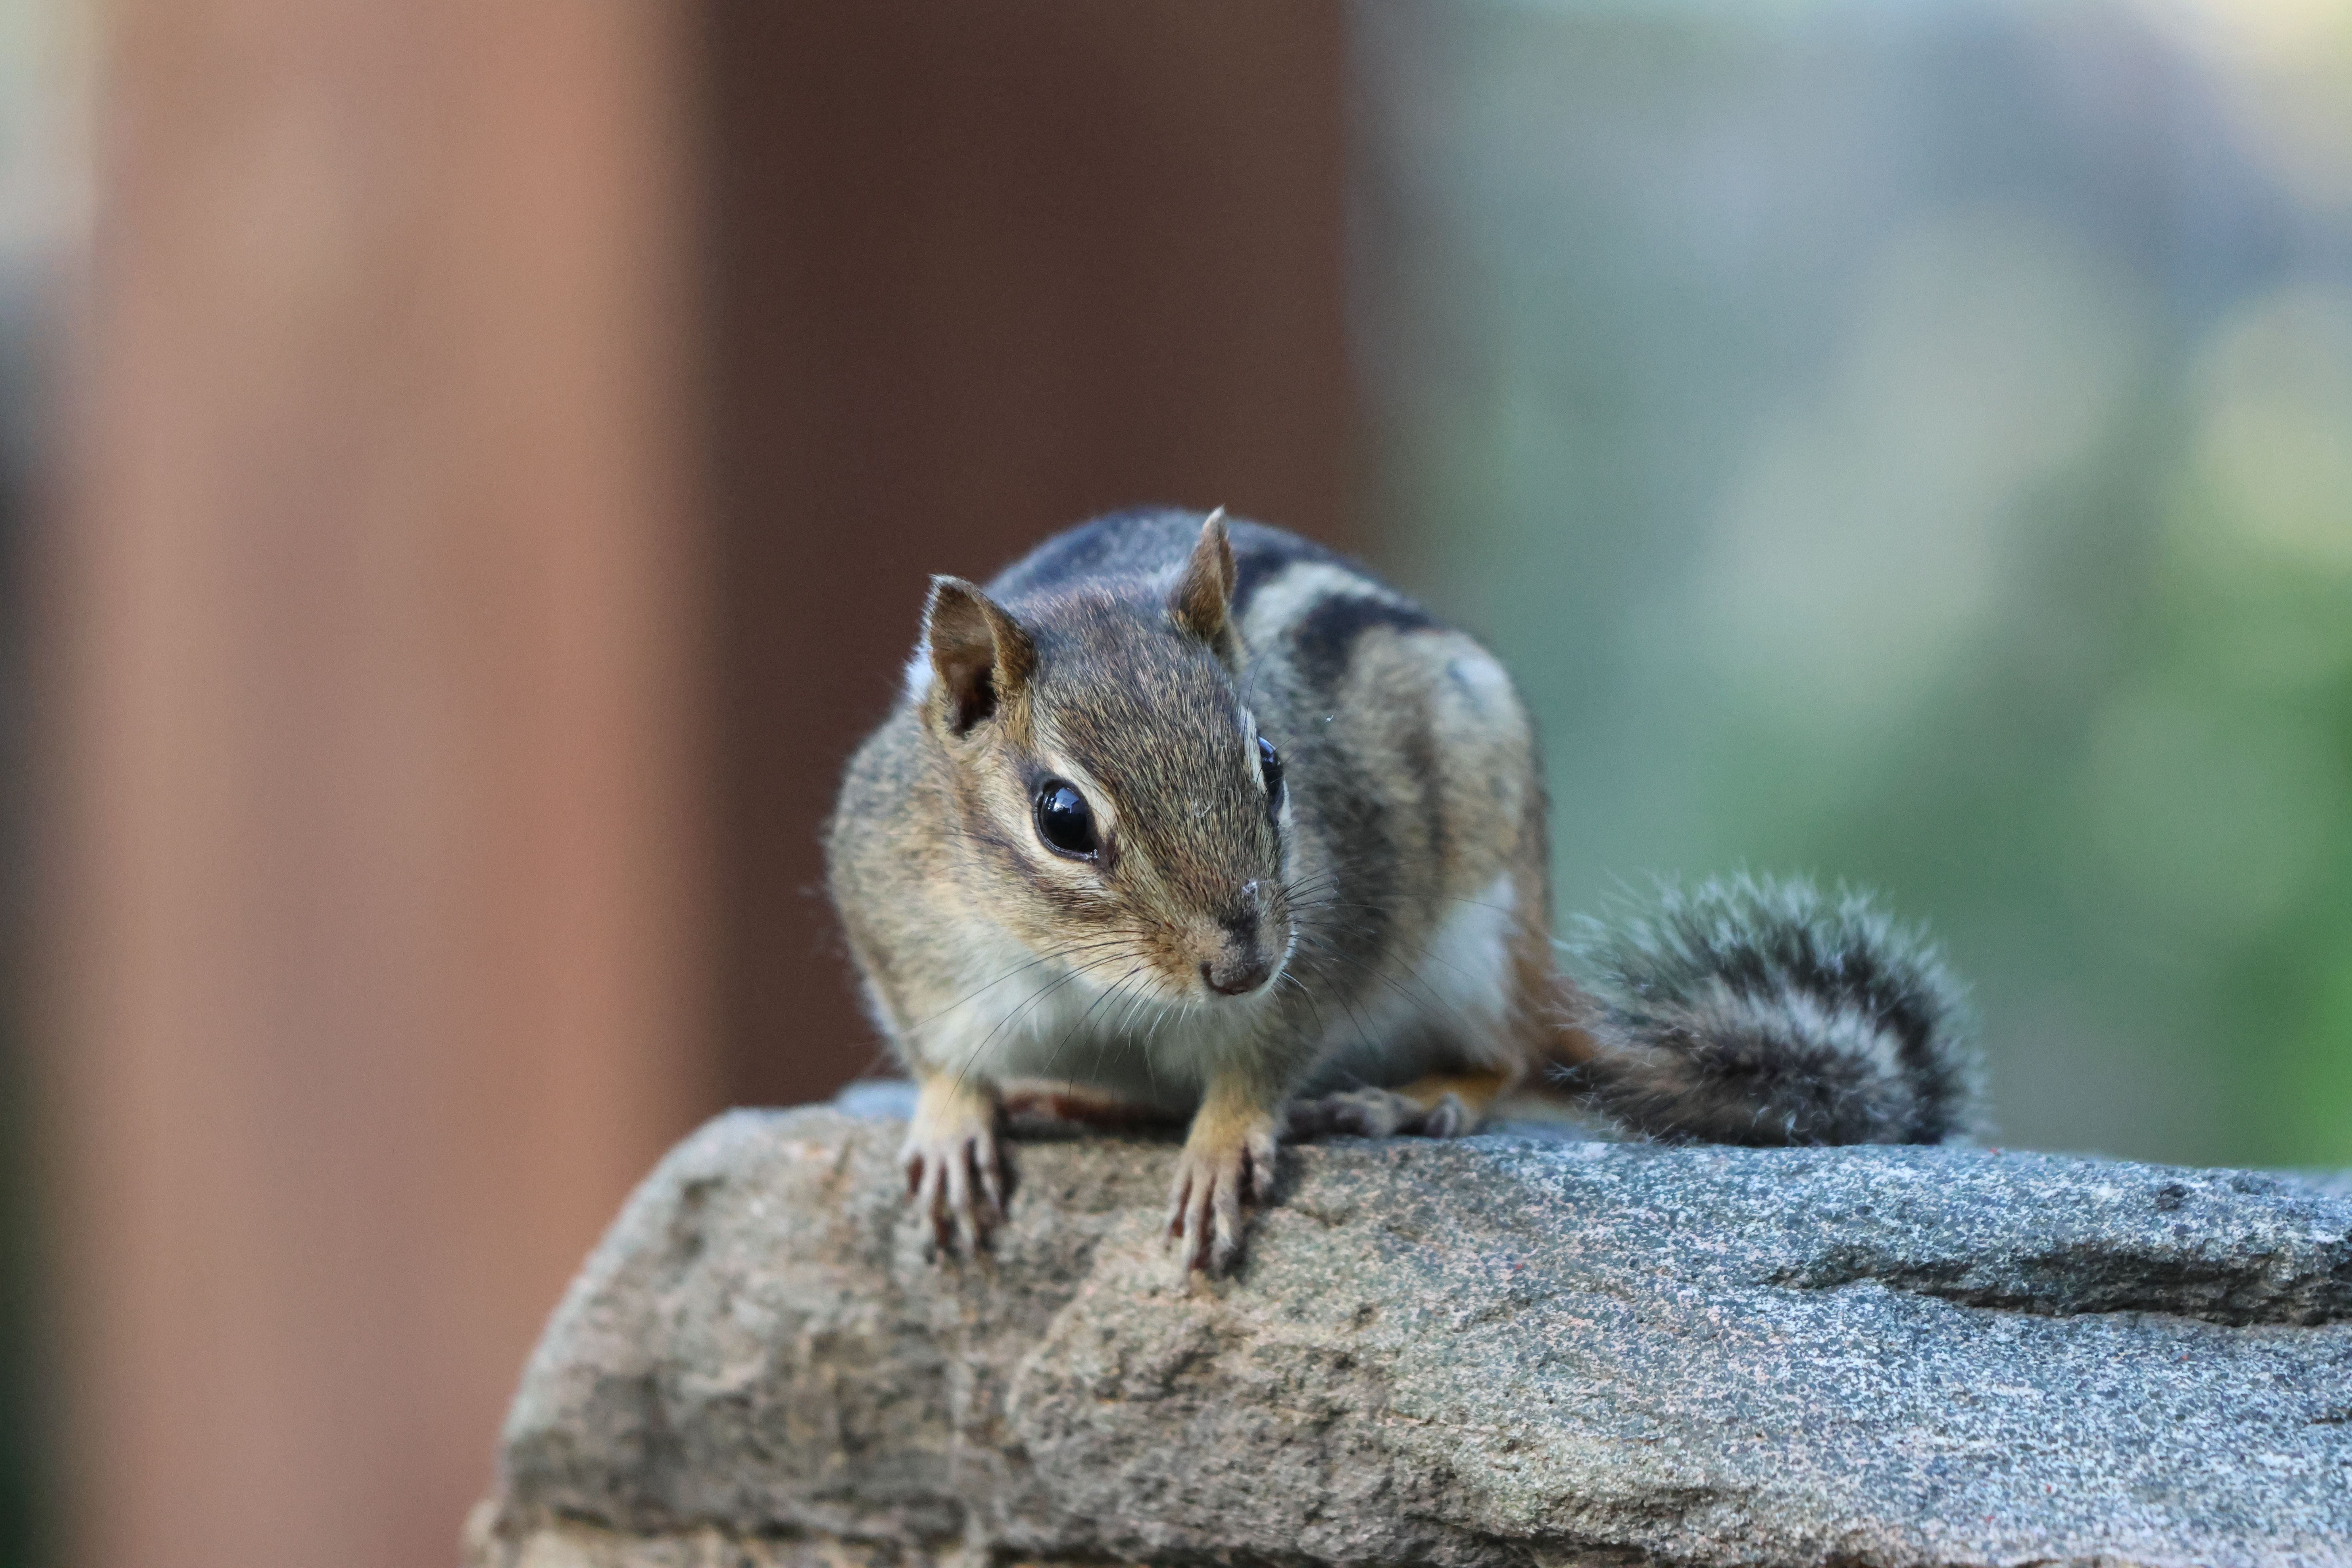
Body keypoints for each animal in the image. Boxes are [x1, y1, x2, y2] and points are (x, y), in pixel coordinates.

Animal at [825, 507, 1982, 1275]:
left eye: (1273, 764)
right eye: (1063, 818)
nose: (1241, 964)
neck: (1077, 974)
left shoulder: (1325, 944)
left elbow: (1263, 1063)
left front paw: (1220, 1144)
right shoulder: (898, 934)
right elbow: (939, 1055)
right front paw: (951, 1120)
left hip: (1475, 944)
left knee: (1502, 1056)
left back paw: (1407, 1100)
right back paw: (1059, 1093)